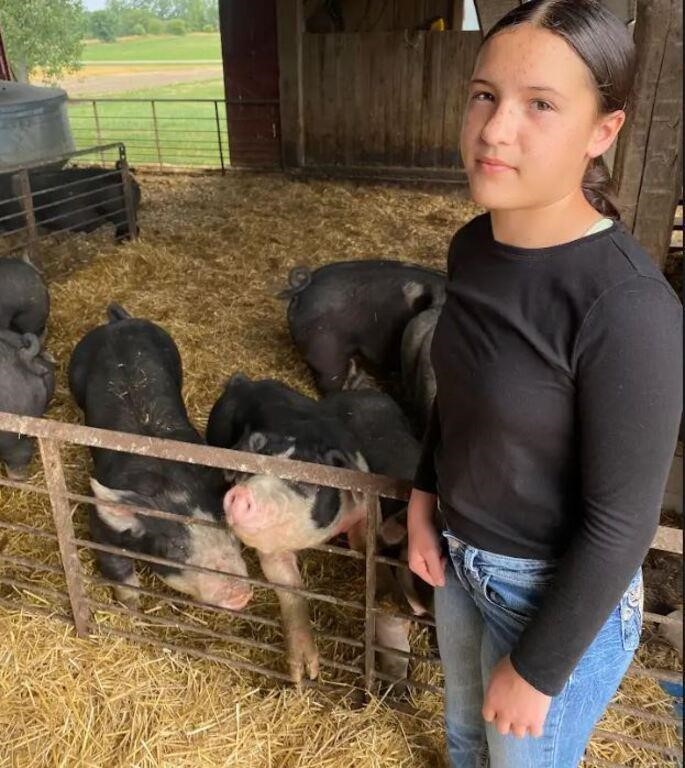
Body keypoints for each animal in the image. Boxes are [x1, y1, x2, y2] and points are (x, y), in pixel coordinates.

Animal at [67, 306, 251, 612]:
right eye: (177, 547)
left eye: (231, 533)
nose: (240, 593)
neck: (171, 484)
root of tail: (117, 324)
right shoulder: (101, 526)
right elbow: (118, 569)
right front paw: (132, 608)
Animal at [207, 376, 368, 680]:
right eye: (252, 466)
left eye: (305, 480)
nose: (241, 494)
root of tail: (244, 381)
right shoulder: (272, 552)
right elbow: (291, 590)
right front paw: (303, 675)